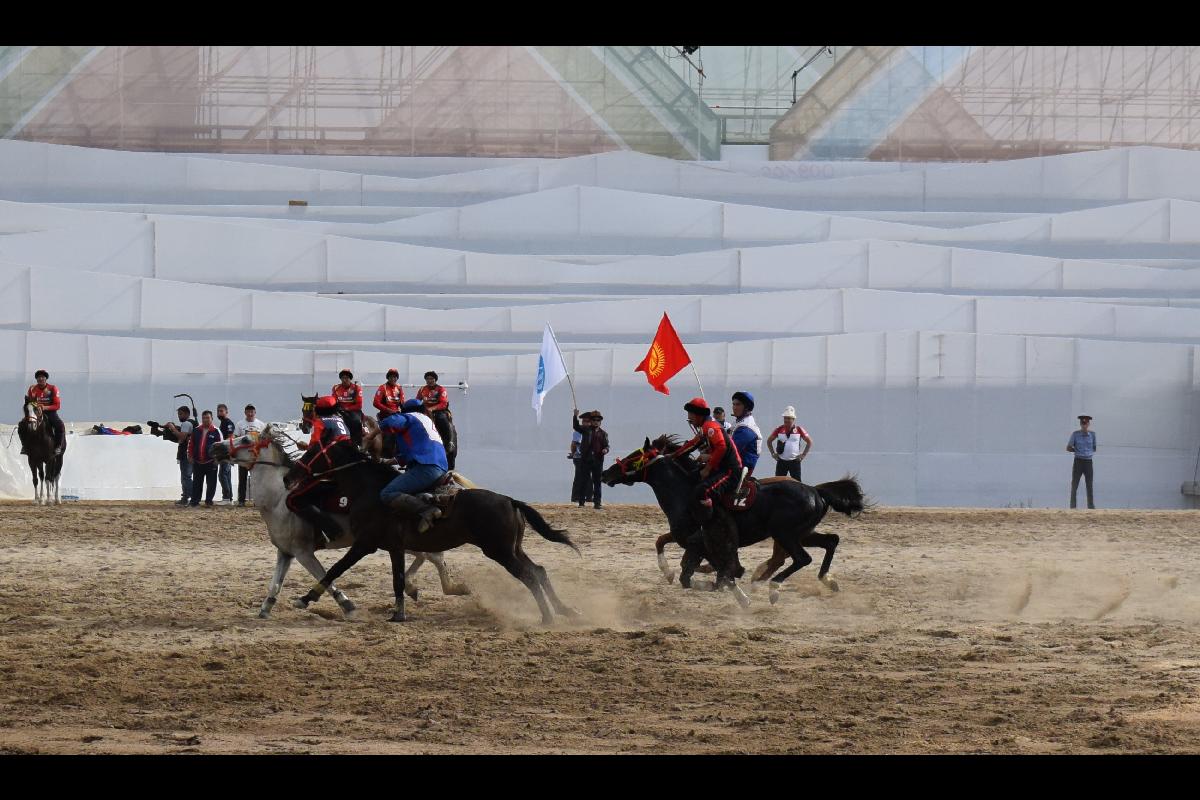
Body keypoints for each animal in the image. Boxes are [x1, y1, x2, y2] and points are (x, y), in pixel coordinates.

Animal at [208, 424, 470, 618]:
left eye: (244, 439)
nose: (215, 446)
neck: (278, 500)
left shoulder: (303, 553)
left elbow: (325, 576)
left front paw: (346, 605)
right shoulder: (285, 552)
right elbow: (275, 583)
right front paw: (265, 608)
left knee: (433, 557)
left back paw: (442, 587)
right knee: (429, 557)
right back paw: (419, 587)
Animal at [283, 441, 578, 623]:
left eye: (313, 451)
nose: (288, 477)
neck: (371, 491)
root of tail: (509, 500)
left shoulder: (365, 544)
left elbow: (336, 568)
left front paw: (305, 599)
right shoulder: (395, 548)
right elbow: (398, 580)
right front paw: (399, 614)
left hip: (500, 551)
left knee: (529, 575)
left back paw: (548, 617)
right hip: (513, 549)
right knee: (539, 571)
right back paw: (564, 610)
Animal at [604, 438, 868, 599]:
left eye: (633, 457)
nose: (606, 473)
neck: (684, 492)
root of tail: (816, 491)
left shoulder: (700, 542)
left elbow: (709, 572)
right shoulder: (688, 540)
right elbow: (665, 548)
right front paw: (671, 573)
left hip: (786, 534)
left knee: (801, 558)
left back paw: (772, 587)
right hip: (803, 533)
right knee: (831, 541)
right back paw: (826, 579)